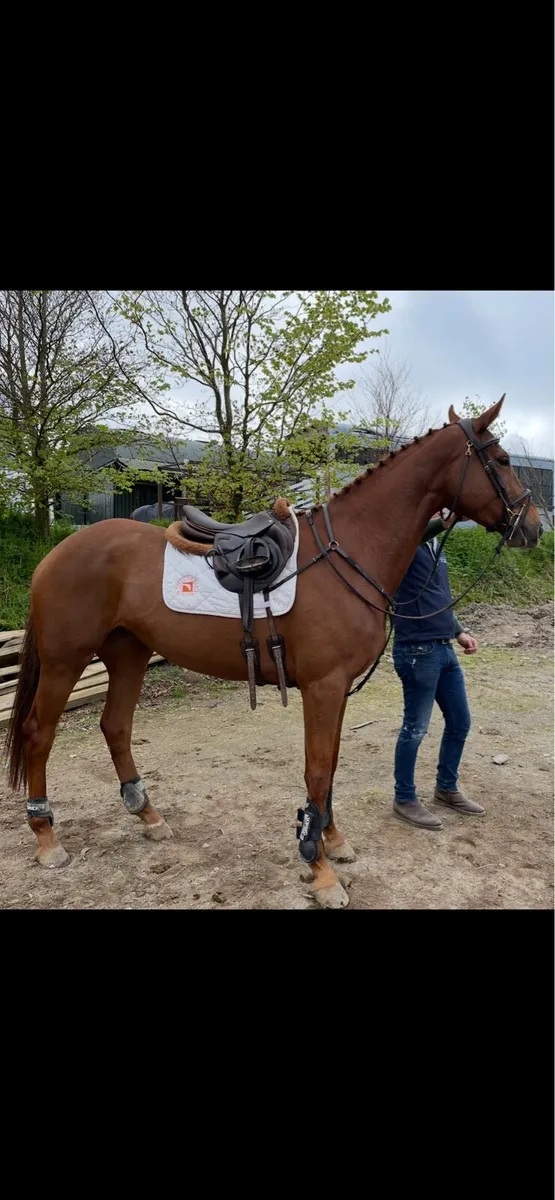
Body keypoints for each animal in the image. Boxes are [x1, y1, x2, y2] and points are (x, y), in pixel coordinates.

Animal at [5, 398, 542, 908]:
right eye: (501, 459)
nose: (533, 528)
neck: (350, 552)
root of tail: (57, 553)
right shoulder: (323, 688)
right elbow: (317, 770)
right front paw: (320, 870)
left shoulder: (338, 691)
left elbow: (331, 765)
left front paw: (332, 839)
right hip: (66, 661)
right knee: (38, 733)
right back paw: (47, 838)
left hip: (129, 654)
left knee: (115, 726)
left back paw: (150, 817)